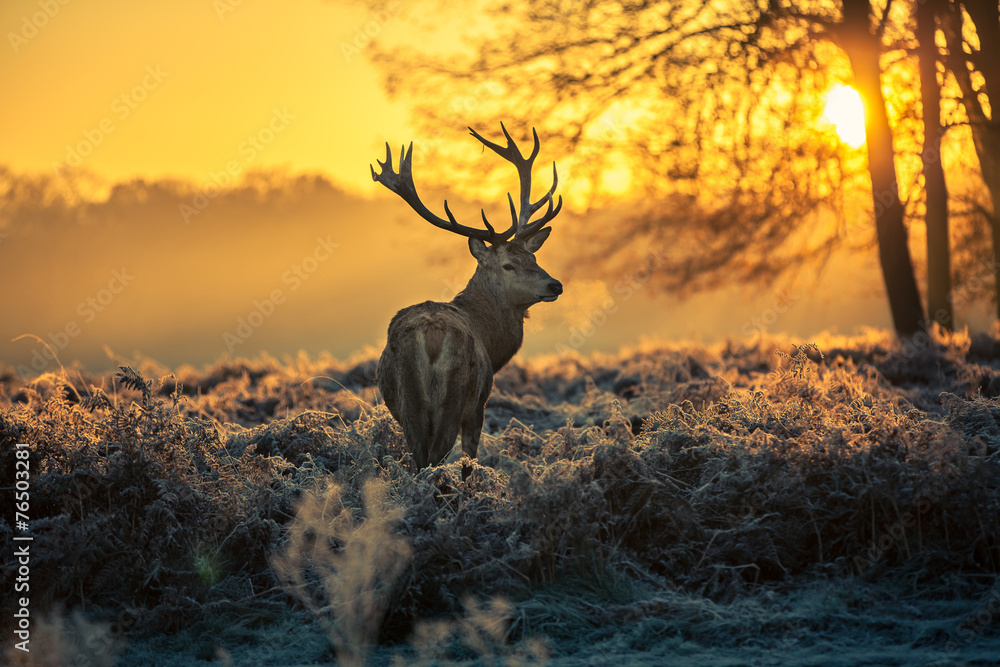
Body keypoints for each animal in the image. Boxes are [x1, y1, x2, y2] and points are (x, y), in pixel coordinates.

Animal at [370, 124, 563, 476]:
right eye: (508, 265)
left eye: (534, 257)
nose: (555, 285)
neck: (491, 340)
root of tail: (431, 335)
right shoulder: (479, 403)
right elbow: (470, 458)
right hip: (455, 397)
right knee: (435, 458)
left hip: (409, 403)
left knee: (418, 461)